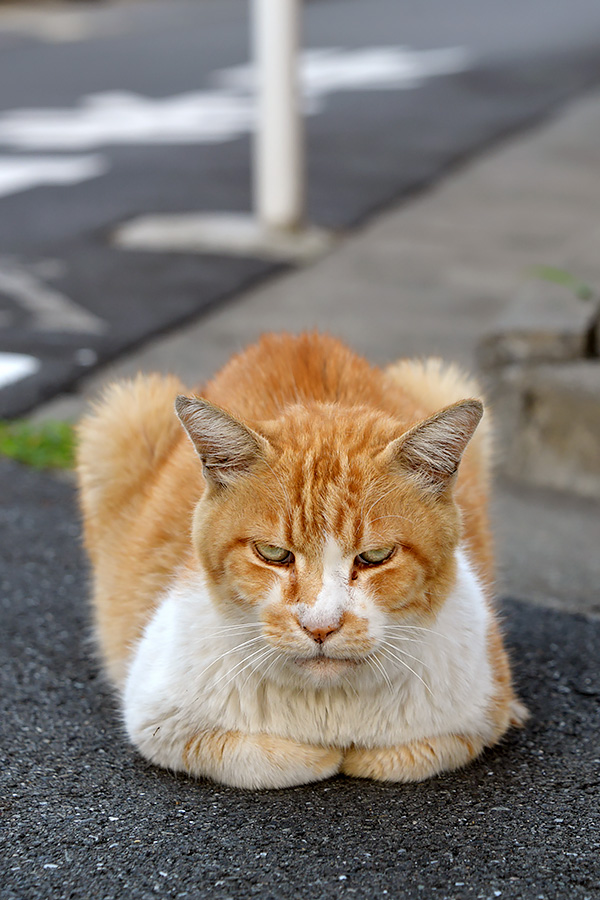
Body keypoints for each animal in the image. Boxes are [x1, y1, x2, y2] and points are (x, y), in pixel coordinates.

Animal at [77, 330, 528, 788]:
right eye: (272, 553)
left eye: (376, 556)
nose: (320, 627)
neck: (327, 704)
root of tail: (294, 337)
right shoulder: (157, 718)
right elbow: (277, 758)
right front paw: (324, 754)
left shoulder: (476, 718)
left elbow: (391, 757)